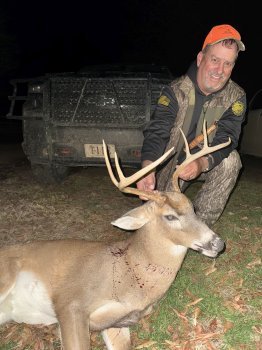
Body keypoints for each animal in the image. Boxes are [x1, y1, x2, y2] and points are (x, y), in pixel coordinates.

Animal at [0, 121, 229, 348]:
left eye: (193, 208)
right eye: (170, 216)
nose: (218, 243)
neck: (130, 275)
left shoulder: (118, 322)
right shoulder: (70, 302)